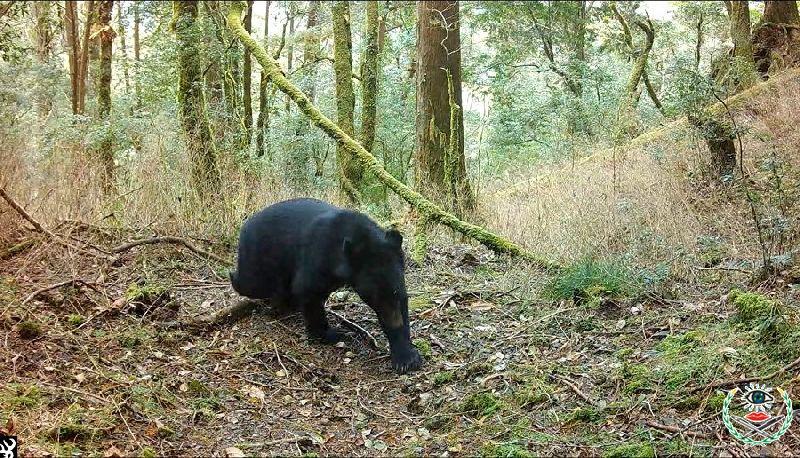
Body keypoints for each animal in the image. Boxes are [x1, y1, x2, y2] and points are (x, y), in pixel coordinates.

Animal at [228, 197, 422, 372]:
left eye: (395, 292)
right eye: (374, 297)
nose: (395, 322)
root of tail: (245, 225)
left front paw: (406, 357)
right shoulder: (318, 255)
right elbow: (307, 289)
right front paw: (332, 334)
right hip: (261, 257)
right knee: (251, 282)